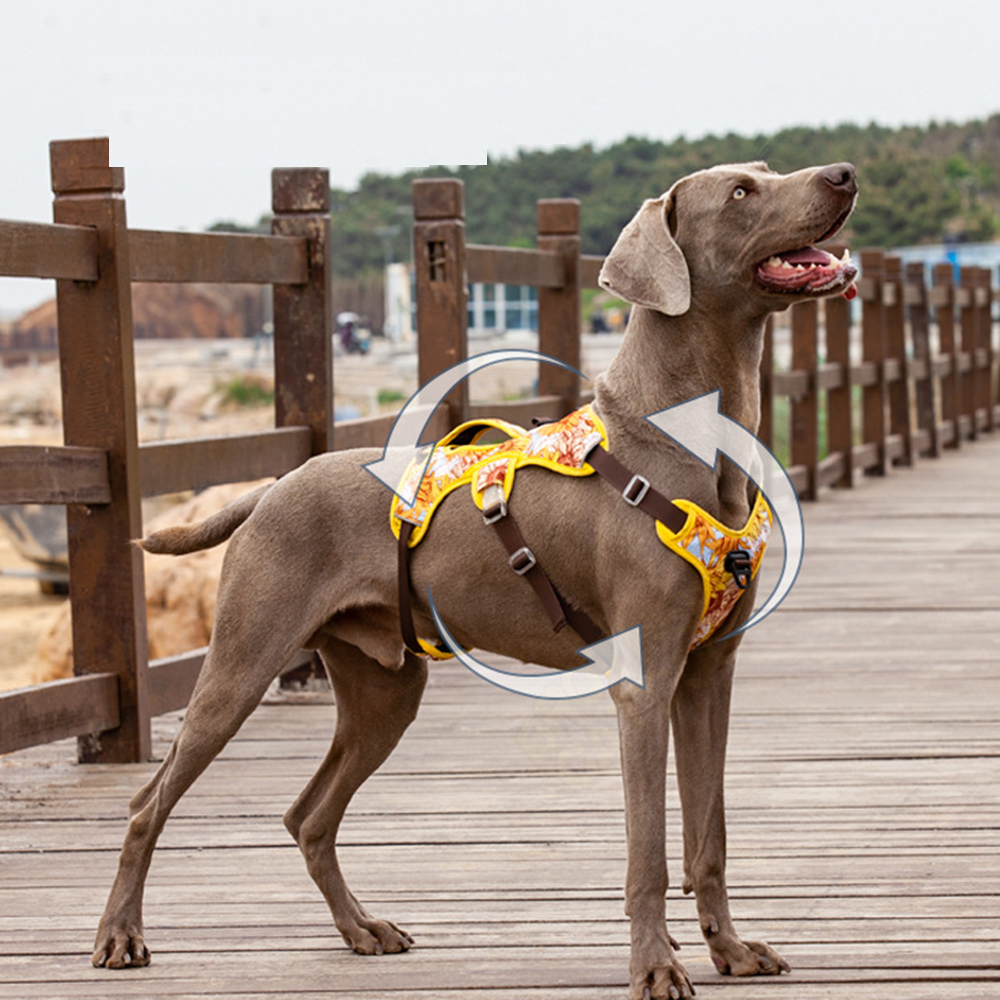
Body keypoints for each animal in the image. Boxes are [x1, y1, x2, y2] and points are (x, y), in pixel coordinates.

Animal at [94, 160, 860, 996]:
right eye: (741, 194)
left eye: (766, 173)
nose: (843, 173)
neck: (680, 437)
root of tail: (271, 487)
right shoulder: (645, 685)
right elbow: (649, 856)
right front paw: (657, 968)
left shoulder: (708, 676)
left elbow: (709, 836)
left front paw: (730, 949)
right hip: (241, 664)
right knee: (146, 804)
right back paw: (121, 935)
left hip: (385, 689)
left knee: (308, 815)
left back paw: (362, 929)